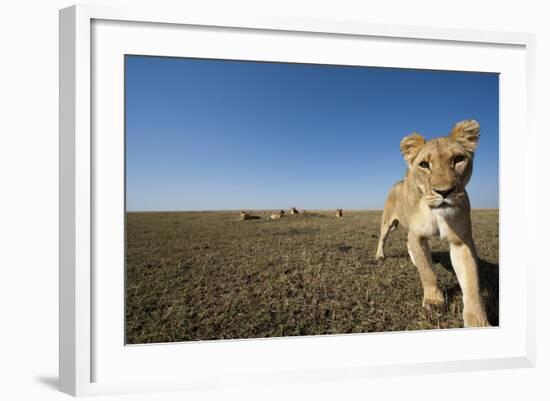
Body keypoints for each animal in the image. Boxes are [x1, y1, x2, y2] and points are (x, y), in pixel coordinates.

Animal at [380, 120, 492, 326]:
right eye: (424, 165)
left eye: (458, 159)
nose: (444, 191)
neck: (436, 213)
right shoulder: (417, 235)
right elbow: (427, 272)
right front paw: (434, 300)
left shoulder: (461, 240)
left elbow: (471, 281)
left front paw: (478, 320)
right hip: (388, 223)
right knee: (382, 239)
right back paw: (380, 255)